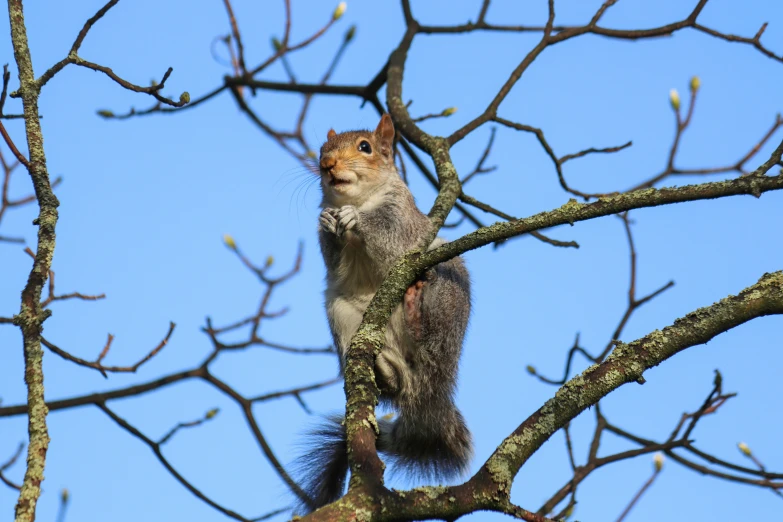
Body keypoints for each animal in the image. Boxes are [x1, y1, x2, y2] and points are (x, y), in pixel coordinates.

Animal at [294, 115, 472, 512]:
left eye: (366, 147)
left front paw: (355, 218)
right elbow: (334, 260)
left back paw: (417, 312)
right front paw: (328, 221)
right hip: (341, 311)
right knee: (398, 379)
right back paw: (385, 370)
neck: (361, 198)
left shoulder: (403, 223)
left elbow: (389, 242)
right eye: (322, 149)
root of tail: (431, 391)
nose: (327, 165)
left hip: (446, 291)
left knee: (430, 344)